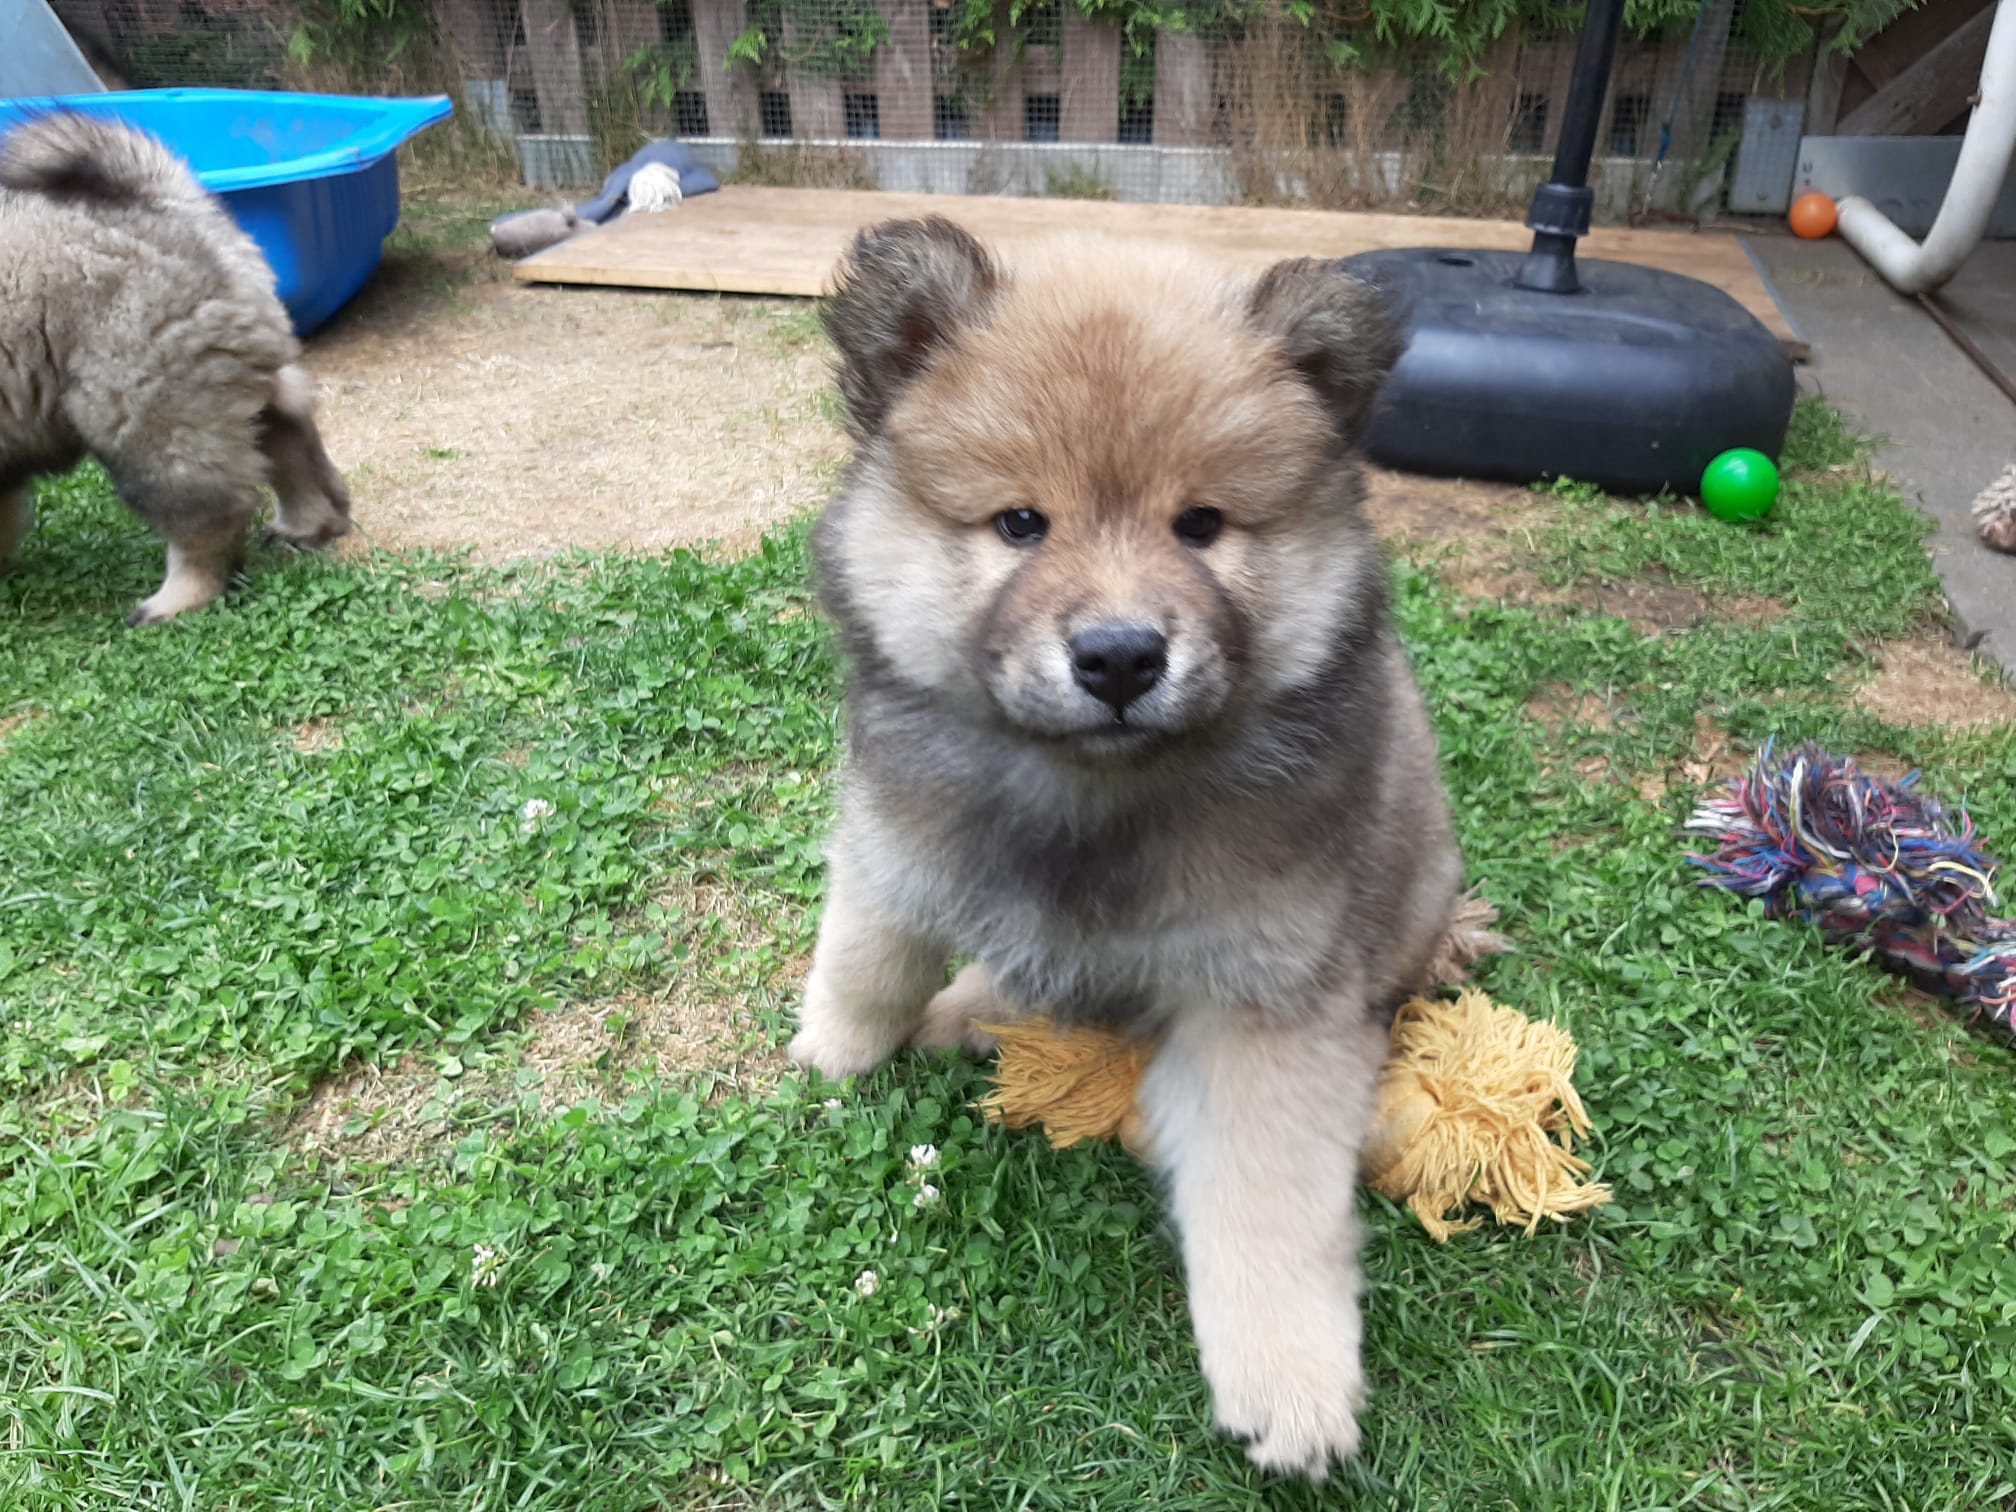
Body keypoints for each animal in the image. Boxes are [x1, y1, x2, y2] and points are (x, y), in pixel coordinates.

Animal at [0, 113, 352, 624]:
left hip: (148, 411)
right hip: (221, 374)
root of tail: (169, 202)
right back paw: (306, 525)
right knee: (287, 440)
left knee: (206, 517)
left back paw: (175, 599)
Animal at [788, 217, 1464, 1480]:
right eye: (1020, 523)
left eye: (1200, 525)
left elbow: (1265, 1208)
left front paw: (1290, 1389)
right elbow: (866, 952)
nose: (1117, 656)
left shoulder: (1267, 1006)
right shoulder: (900, 833)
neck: (1093, 795)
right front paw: (833, 1054)